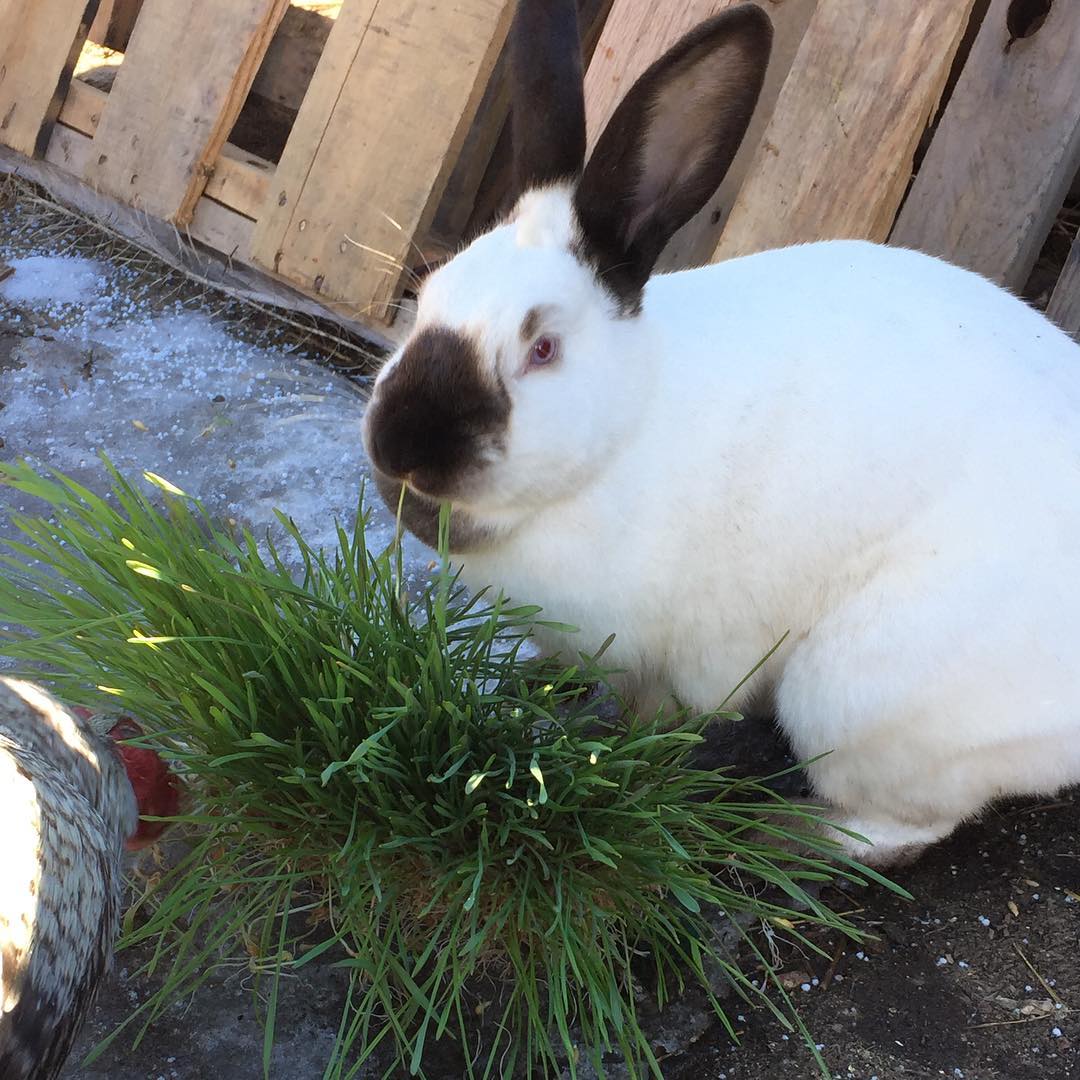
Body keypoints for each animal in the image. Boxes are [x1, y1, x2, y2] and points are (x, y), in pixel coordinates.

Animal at [362, 1, 1080, 866]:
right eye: (428, 293)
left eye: (543, 349)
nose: (403, 447)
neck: (629, 431)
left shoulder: (686, 657)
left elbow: (657, 718)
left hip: (859, 695)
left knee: (900, 829)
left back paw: (780, 831)